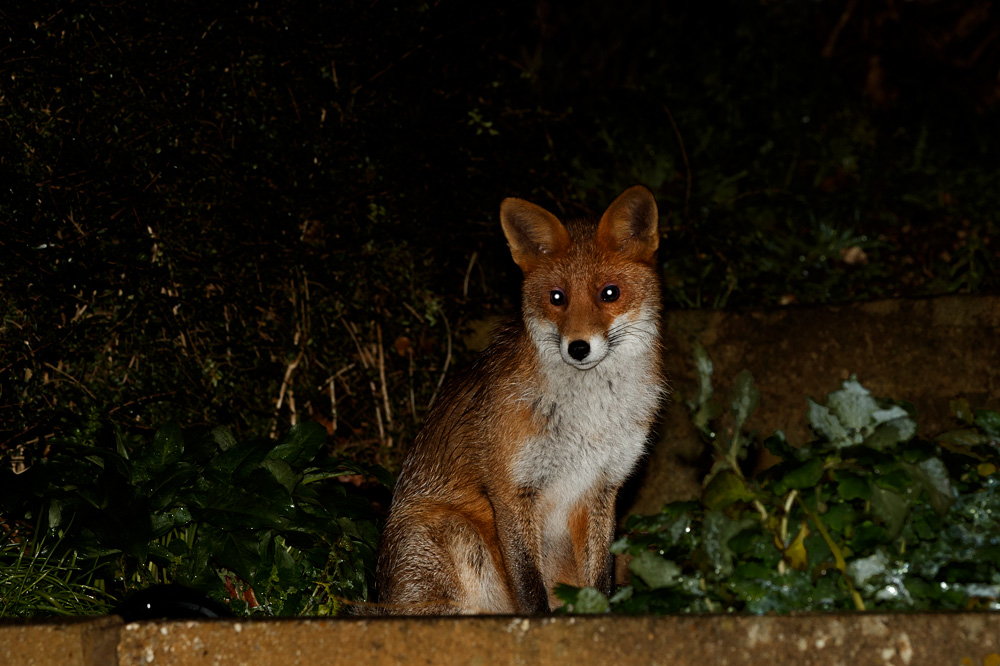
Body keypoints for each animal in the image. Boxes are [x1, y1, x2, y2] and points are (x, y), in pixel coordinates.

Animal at [371, 186, 665, 614]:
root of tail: (381, 596)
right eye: (557, 298)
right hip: (456, 533)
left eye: (609, 293)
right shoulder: (511, 489)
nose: (578, 348)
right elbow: (529, 588)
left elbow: (600, 579)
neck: (590, 419)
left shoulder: (601, 487)